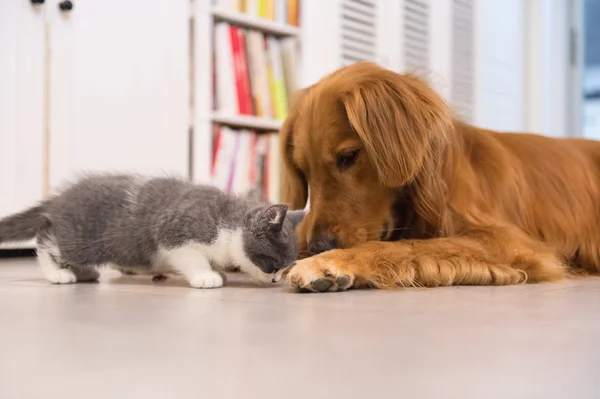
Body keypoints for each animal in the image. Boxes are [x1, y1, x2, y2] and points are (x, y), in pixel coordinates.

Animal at [0, 174, 302, 288]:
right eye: (273, 265)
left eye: (285, 267)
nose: (275, 280)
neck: (230, 222)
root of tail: (59, 199)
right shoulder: (176, 232)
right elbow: (191, 257)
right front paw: (206, 277)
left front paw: (218, 271)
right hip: (82, 238)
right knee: (45, 239)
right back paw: (57, 273)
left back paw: (84, 272)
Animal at [282, 62, 600, 294]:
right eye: (303, 170)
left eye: (348, 156)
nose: (318, 246)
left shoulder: (510, 241)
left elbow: (410, 246)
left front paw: (331, 261)